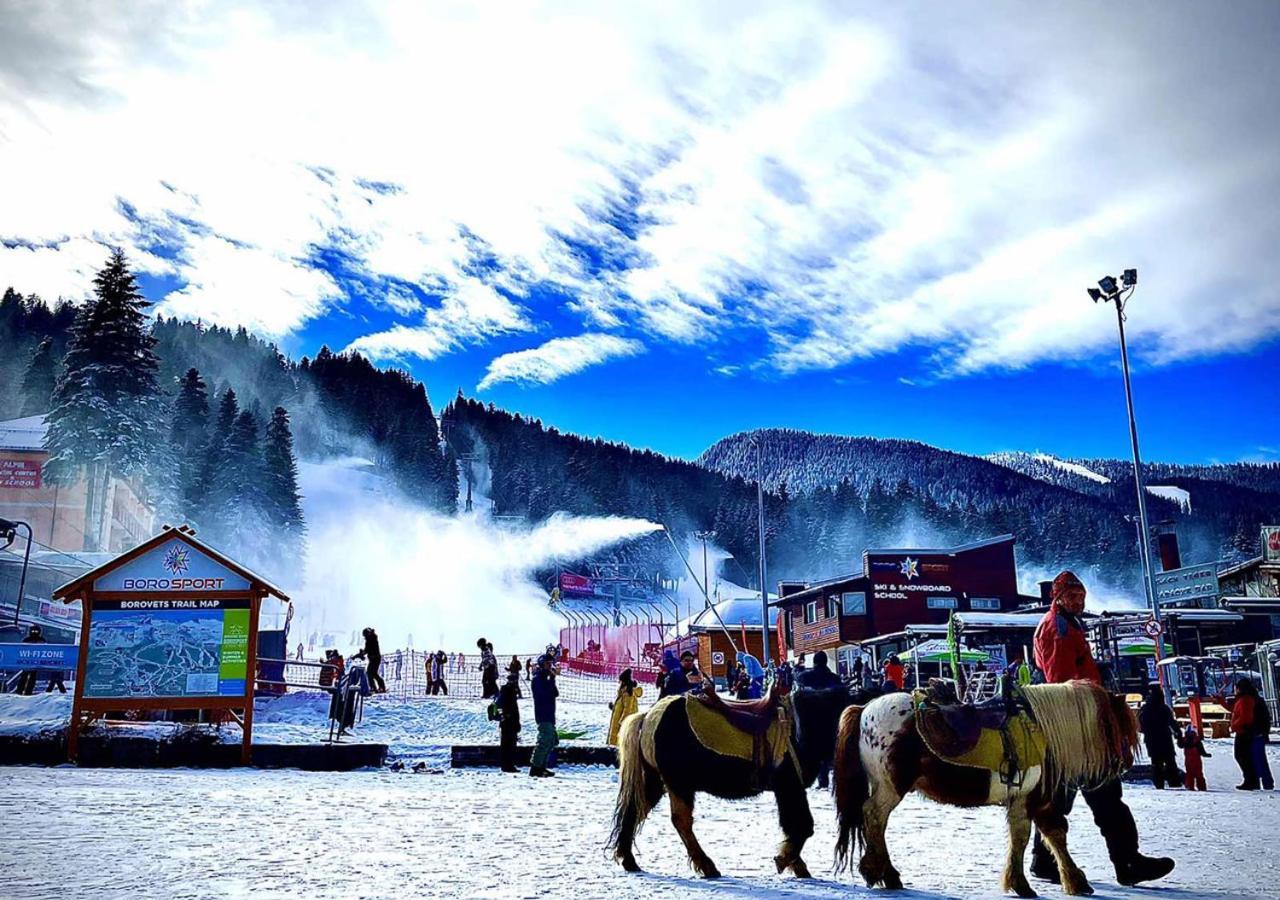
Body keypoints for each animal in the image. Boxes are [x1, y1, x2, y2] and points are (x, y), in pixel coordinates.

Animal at [829, 681, 1141, 896]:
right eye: (1121, 727)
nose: (1126, 764)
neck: (1040, 729)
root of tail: (864, 709)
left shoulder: (1029, 799)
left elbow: (1045, 834)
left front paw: (1057, 881)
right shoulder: (1031, 798)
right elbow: (1035, 836)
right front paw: (1036, 883)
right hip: (891, 787)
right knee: (873, 818)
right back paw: (883, 873)